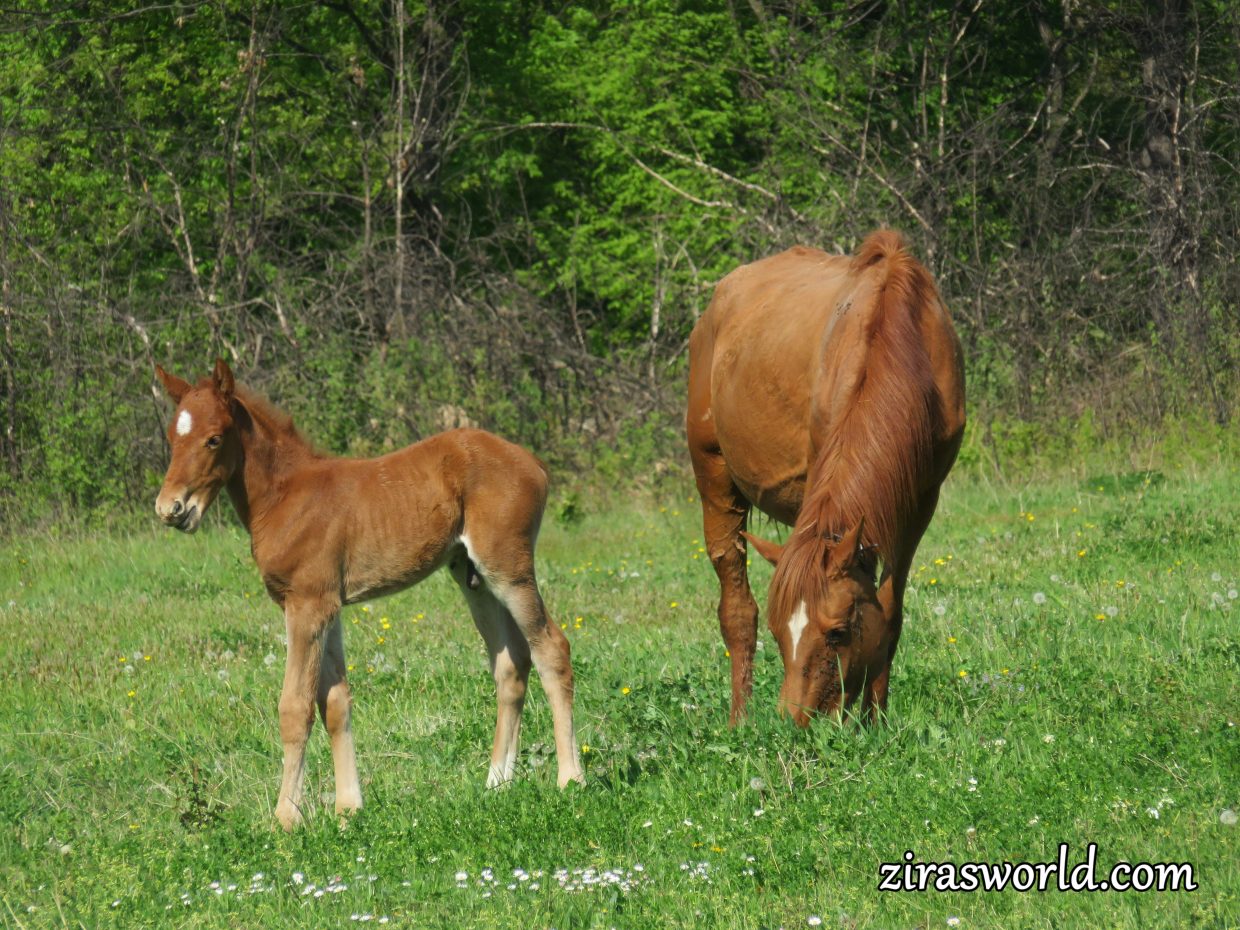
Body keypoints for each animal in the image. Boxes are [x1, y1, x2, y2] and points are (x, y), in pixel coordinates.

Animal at [153, 359, 583, 829]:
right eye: (173, 437)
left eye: (214, 438)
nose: (170, 509)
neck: (285, 497)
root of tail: (534, 463)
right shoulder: (327, 607)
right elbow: (335, 702)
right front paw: (348, 808)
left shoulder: (307, 605)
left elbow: (296, 707)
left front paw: (286, 818)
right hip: (473, 578)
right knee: (511, 664)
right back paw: (496, 784)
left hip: (508, 568)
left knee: (551, 648)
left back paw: (570, 779)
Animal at [686, 230, 965, 726]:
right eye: (780, 633)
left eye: (837, 632)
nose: (794, 719)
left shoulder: (920, 503)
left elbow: (890, 610)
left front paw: (876, 718)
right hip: (713, 476)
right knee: (737, 611)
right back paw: (739, 720)